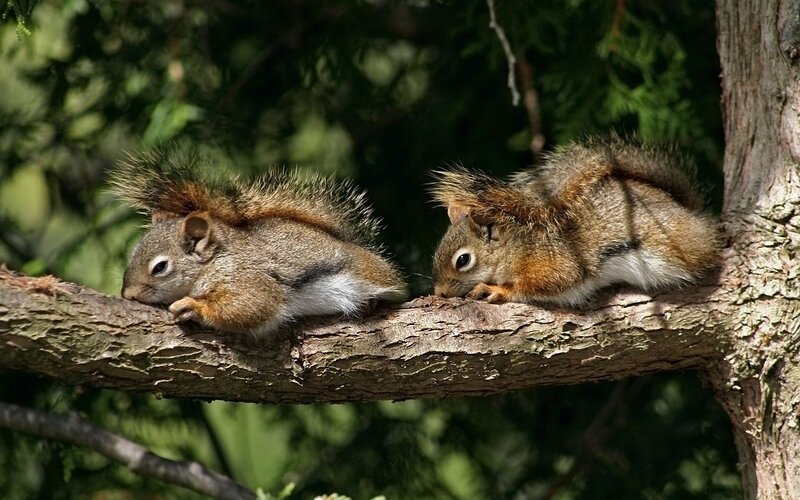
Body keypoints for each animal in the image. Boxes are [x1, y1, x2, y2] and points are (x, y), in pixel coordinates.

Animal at [110, 148, 406, 335]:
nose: (128, 295)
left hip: (371, 274)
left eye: (160, 267)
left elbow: (253, 305)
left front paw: (193, 306)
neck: (214, 261)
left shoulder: (247, 277)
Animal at [430, 135, 721, 306]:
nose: (440, 292)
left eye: (463, 260)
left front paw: (496, 289)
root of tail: (690, 212)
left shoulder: (555, 262)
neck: (517, 246)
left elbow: (546, 284)